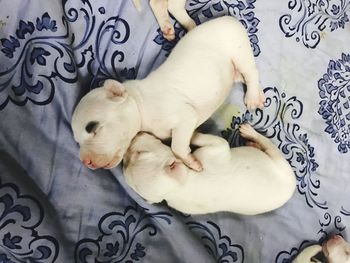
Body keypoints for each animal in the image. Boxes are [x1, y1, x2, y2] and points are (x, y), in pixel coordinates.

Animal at [72, 17, 266, 172]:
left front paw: (191, 162)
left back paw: (252, 97)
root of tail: (229, 18)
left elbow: (177, 146)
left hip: (238, 50)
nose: (85, 162)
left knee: (251, 72)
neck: (140, 104)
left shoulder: (185, 116)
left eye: (93, 128)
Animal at [123, 125, 296, 216]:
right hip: (280, 163)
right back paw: (252, 137)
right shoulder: (217, 148)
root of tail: (291, 189)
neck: (179, 186)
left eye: (140, 153)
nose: (133, 137)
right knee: (267, 144)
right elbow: (210, 140)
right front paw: (192, 133)